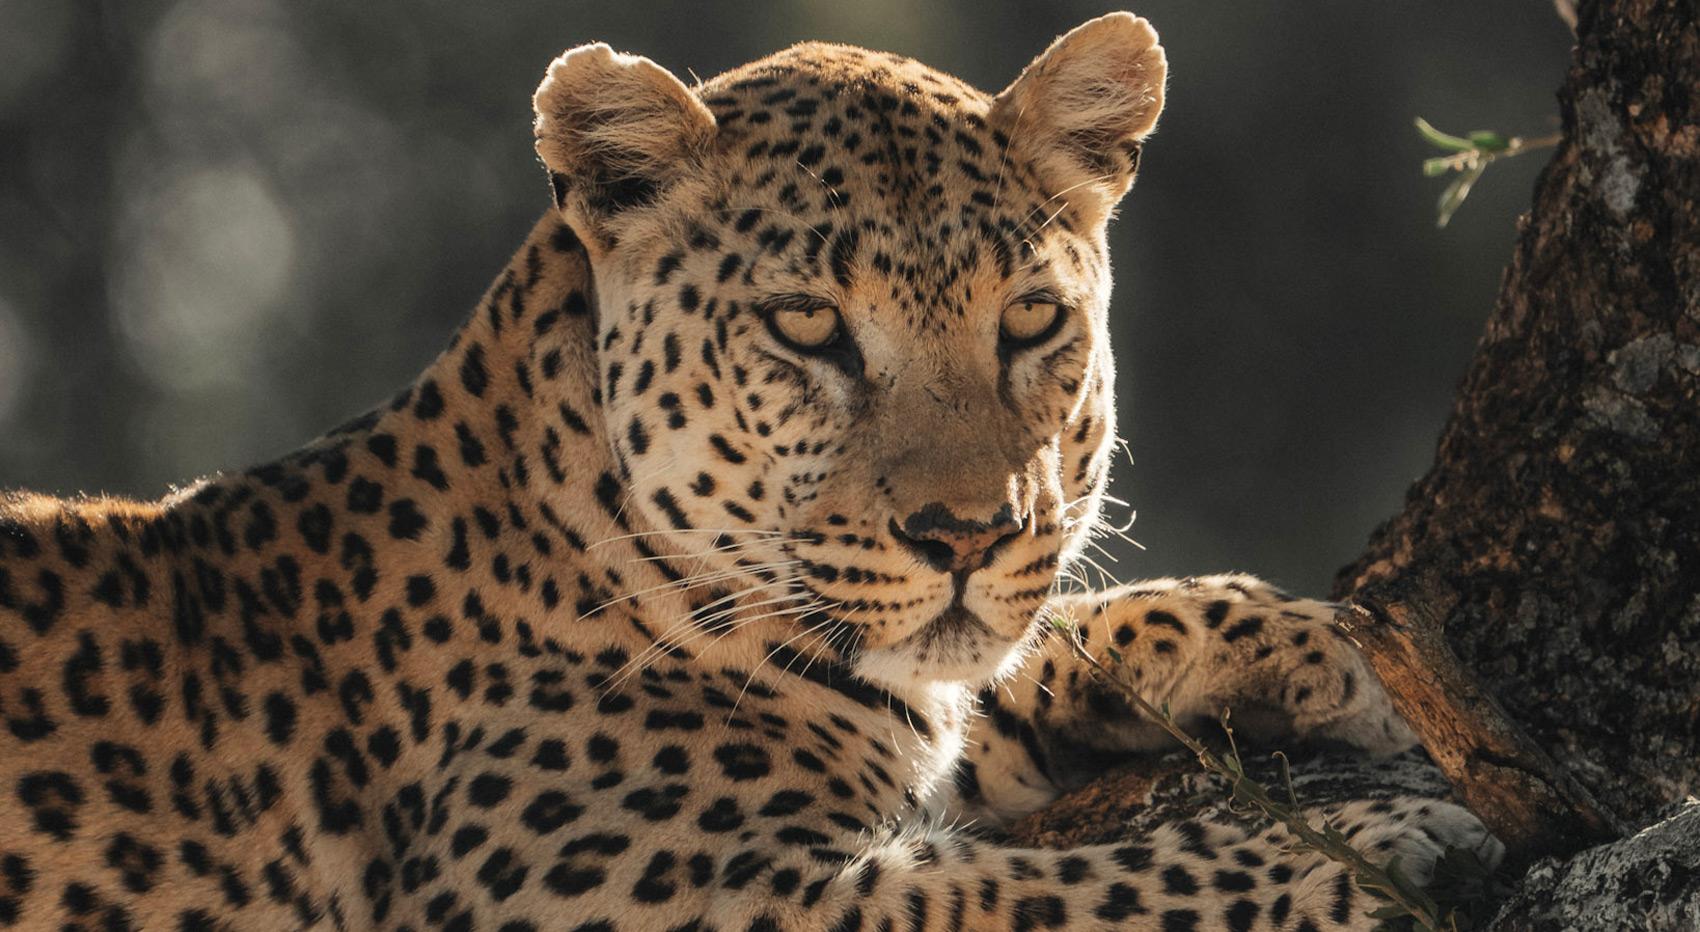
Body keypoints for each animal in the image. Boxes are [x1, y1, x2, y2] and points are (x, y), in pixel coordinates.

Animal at [0, 13, 1501, 931]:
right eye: (806, 327)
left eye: (1030, 318)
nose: (964, 534)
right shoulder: (654, 895)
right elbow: (1050, 895)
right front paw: (1372, 851)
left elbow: (1016, 655)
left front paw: (1324, 647)